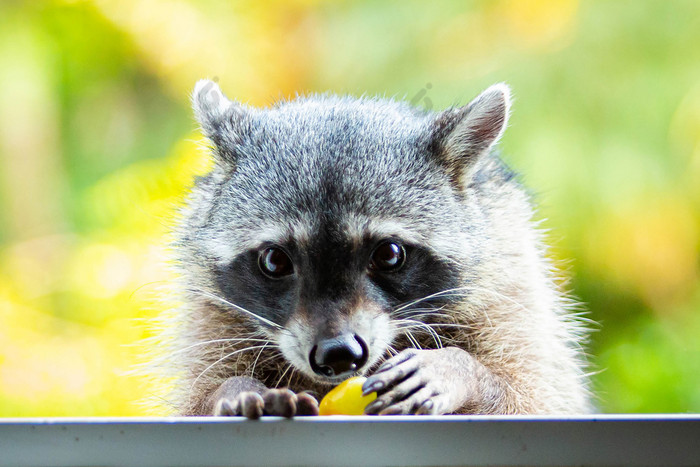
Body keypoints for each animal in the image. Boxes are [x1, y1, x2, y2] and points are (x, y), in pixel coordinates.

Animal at [165, 78, 592, 418]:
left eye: (389, 254)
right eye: (274, 260)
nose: (338, 353)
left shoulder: (509, 283)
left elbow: (536, 398)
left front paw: (460, 369)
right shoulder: (209, 316)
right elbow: (198, 397)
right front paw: (233, 390)